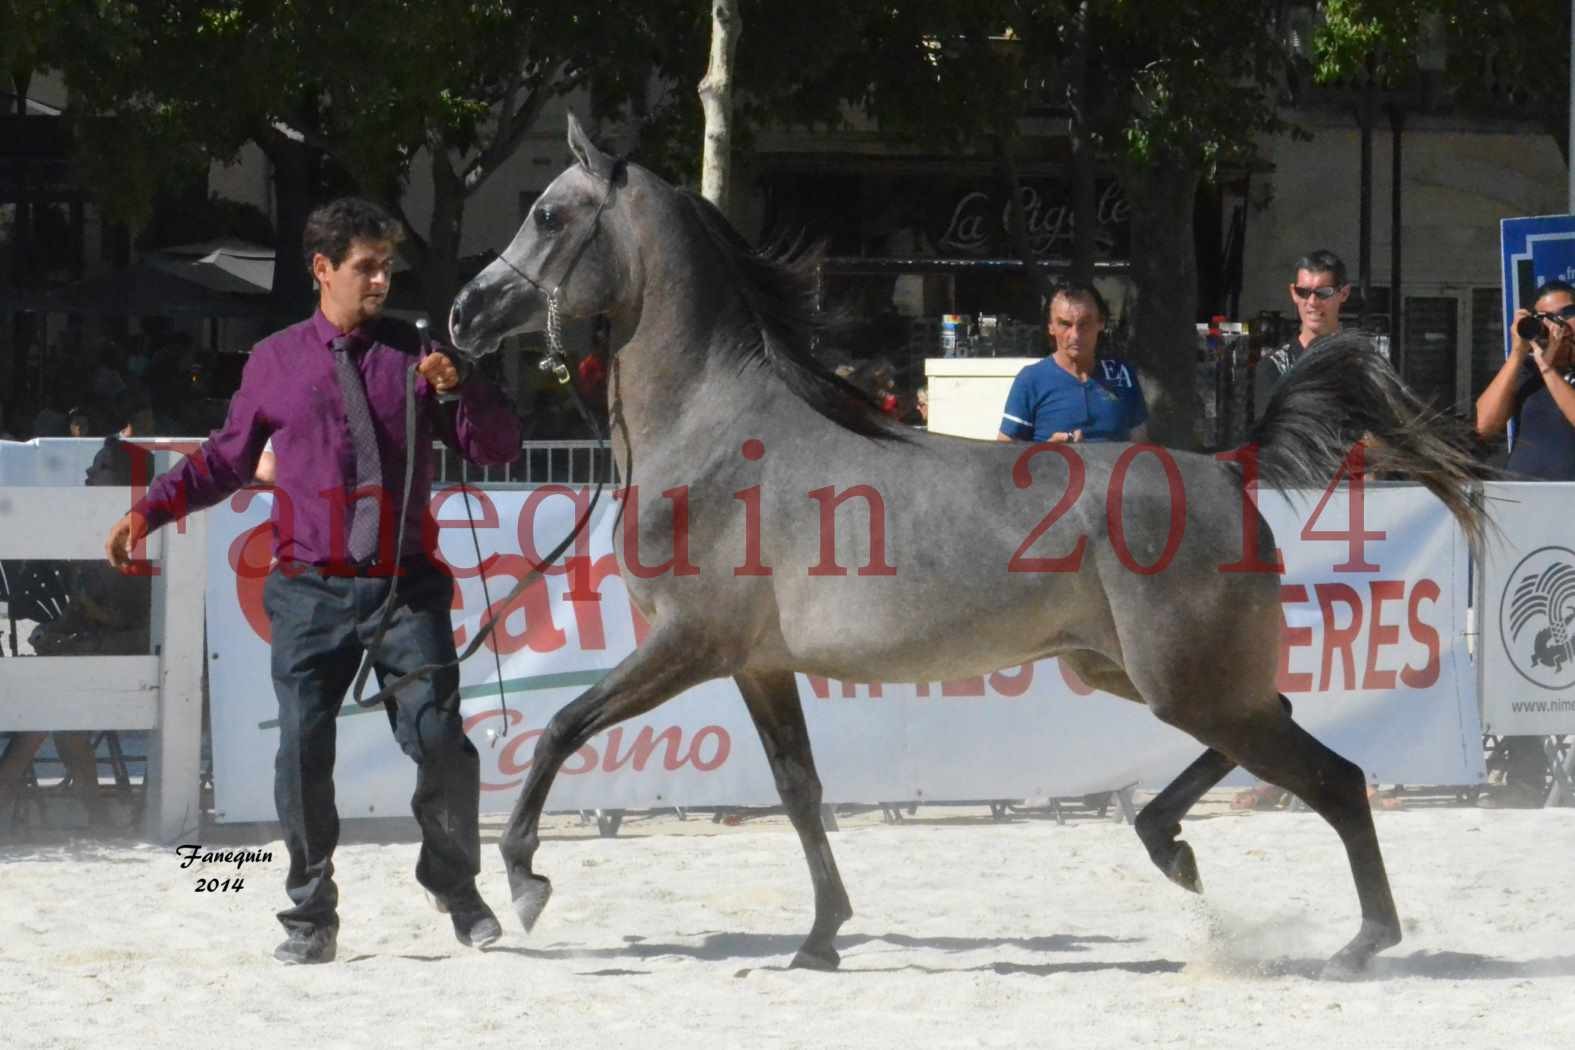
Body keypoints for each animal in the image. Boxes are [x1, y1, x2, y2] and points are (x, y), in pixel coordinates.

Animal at [447, 118, 1486, 982]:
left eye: (547, 214)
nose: (462, 314)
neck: (713, 428)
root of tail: (1229, 465)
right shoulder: (758, 666)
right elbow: (798, 789)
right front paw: (820, 938)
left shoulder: (689, 645)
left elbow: (561, 726)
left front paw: (525, 884)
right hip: (1133, 672)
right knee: (1271, 732)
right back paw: (1170, 843)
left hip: (1180, 682)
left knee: (1331, 776)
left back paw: (1358, 942)